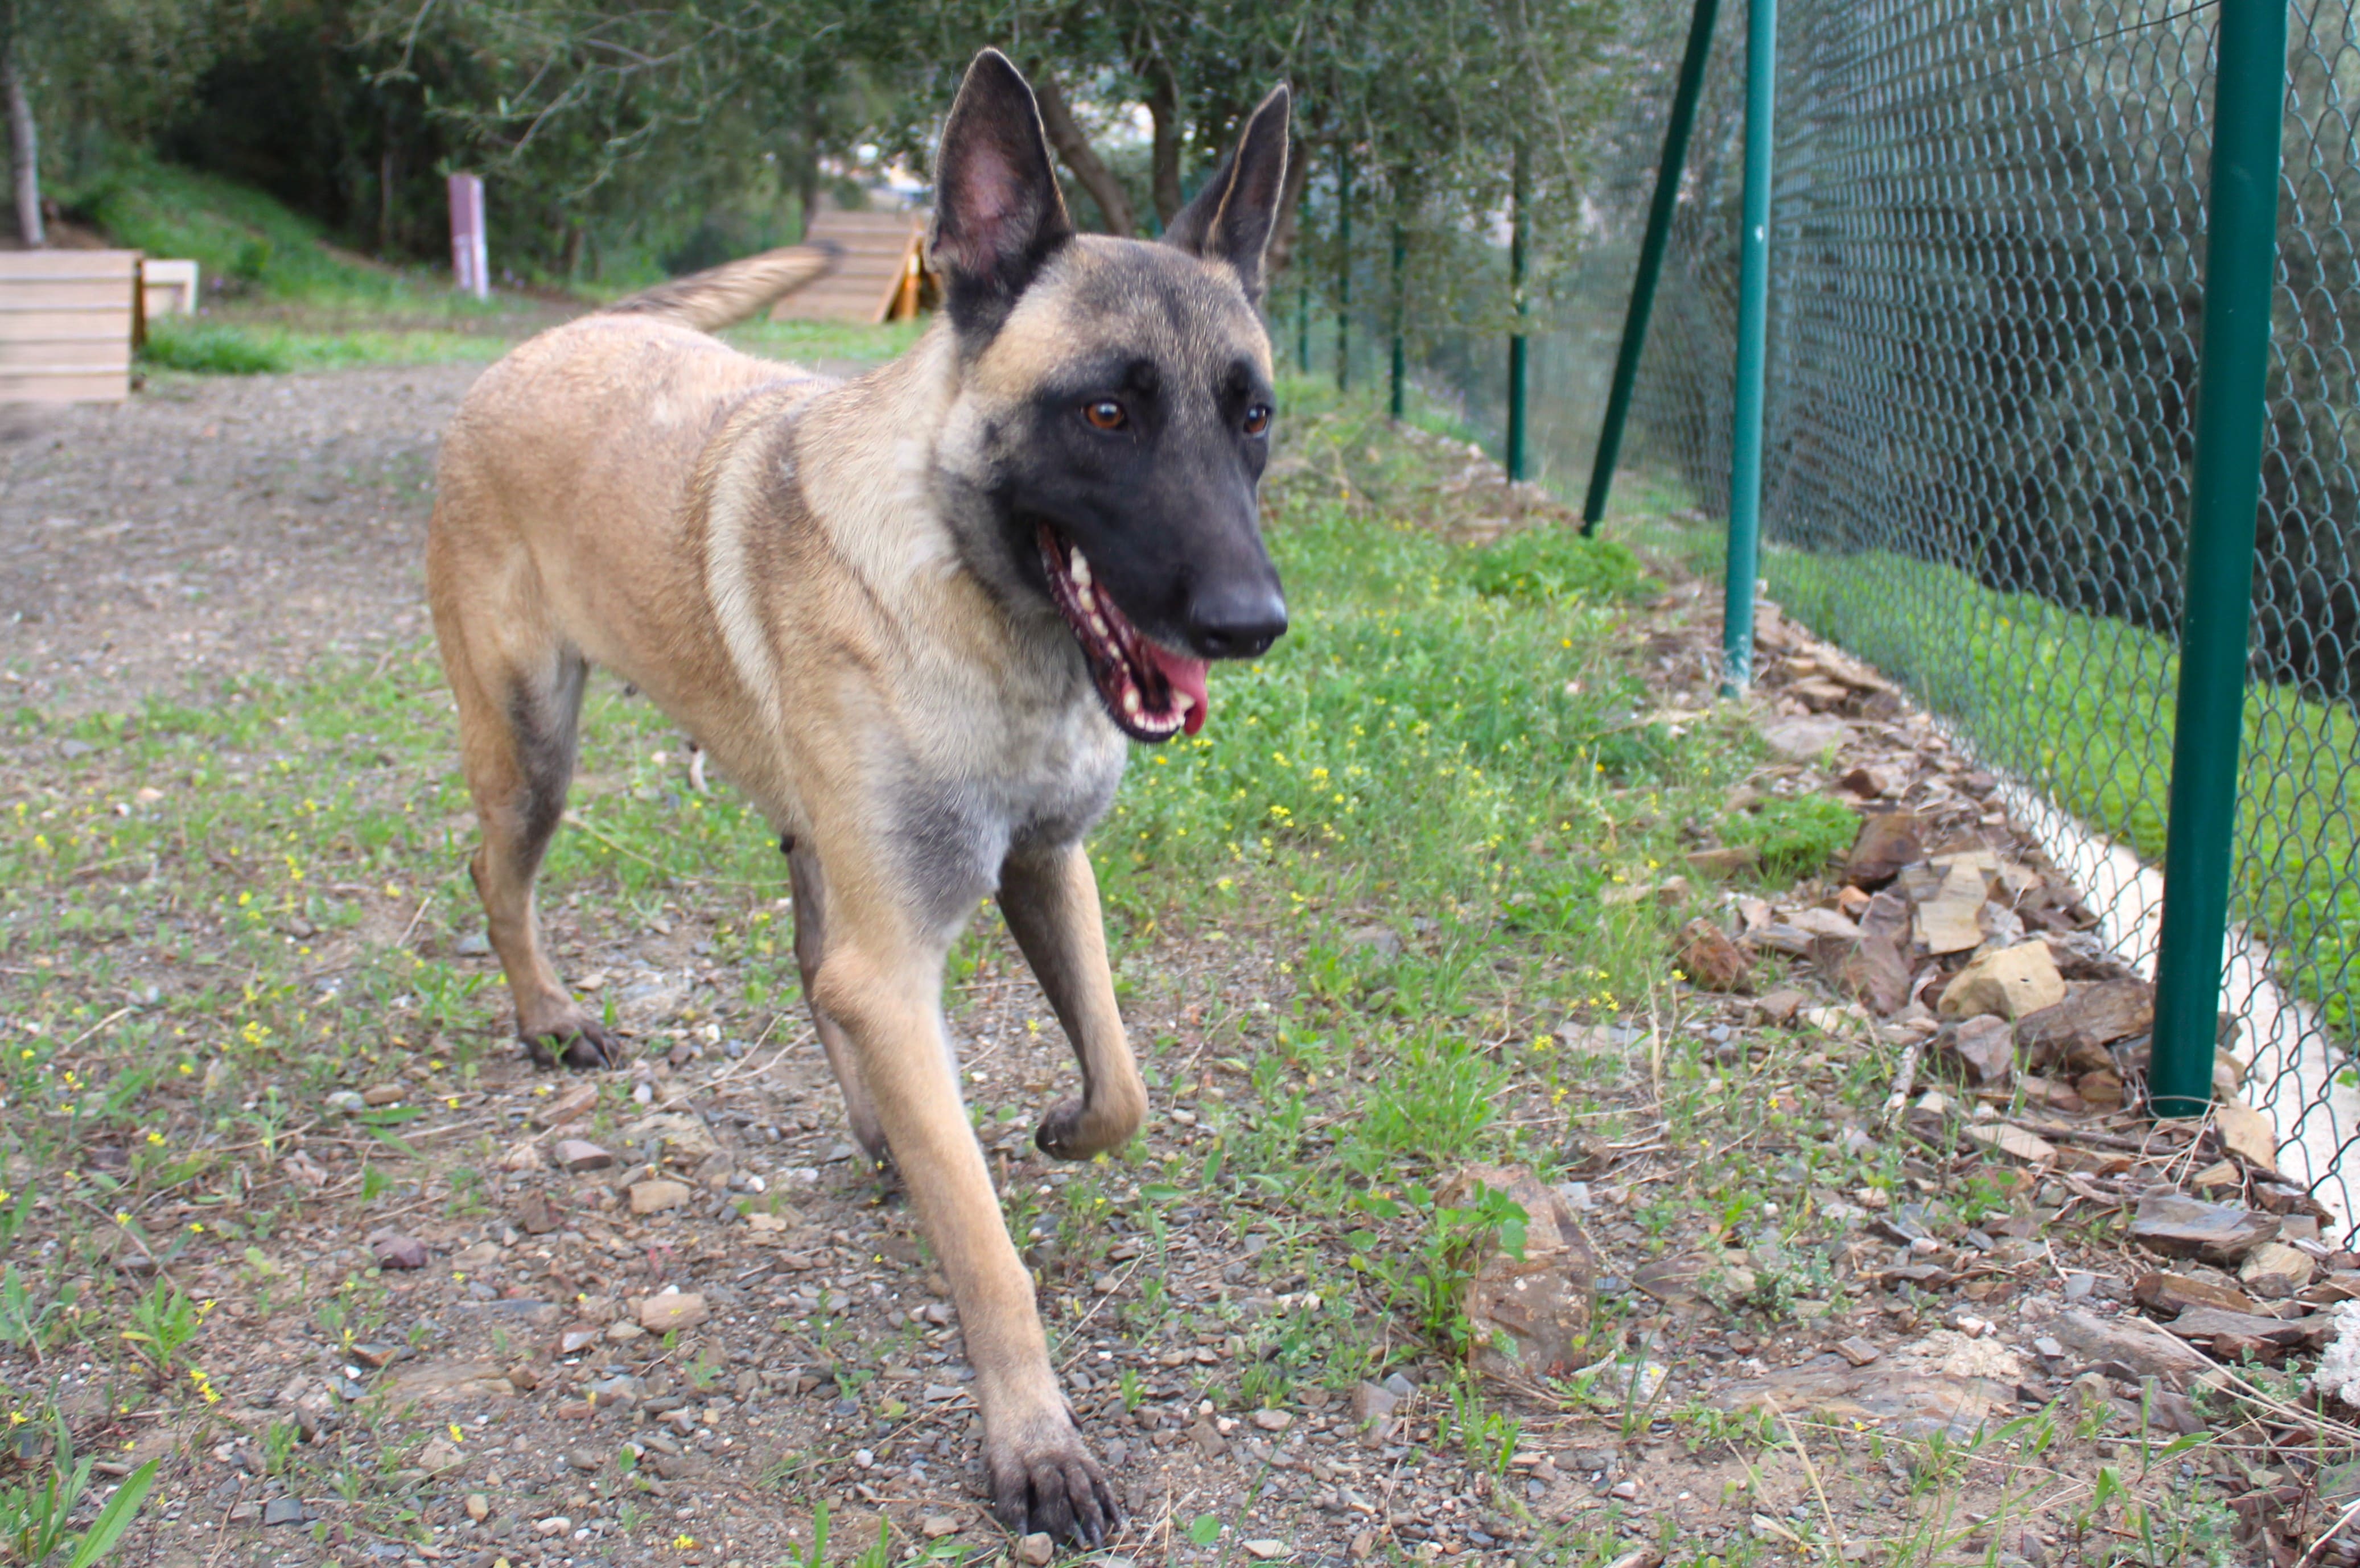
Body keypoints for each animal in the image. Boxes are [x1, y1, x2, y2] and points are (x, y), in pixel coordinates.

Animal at [434, 48, 1303, 1537]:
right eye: (1106, 412)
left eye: (1249, 415)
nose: (1252, 622)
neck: (983, 609)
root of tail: (555, 340)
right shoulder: (898, 962)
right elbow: (991, 1254)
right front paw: (1035, 1443)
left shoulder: (1043, 869)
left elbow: (1122, 1083)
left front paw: (1063, 1124)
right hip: (535, 746)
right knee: (500, 873)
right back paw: (550, 1019)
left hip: (800, 837)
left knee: (804, 962)